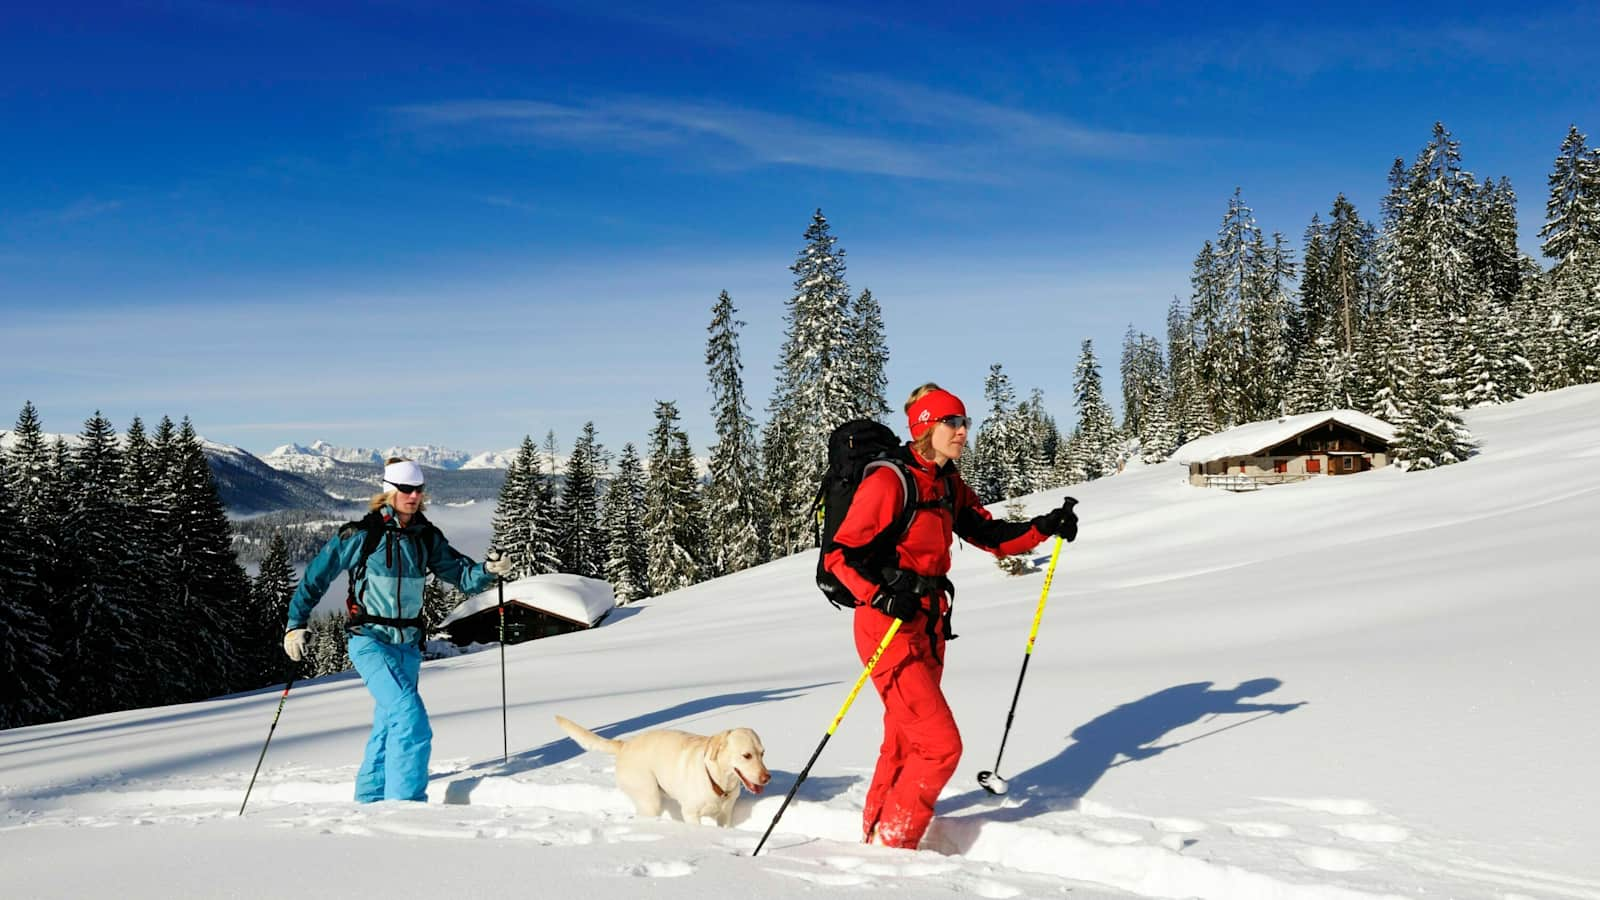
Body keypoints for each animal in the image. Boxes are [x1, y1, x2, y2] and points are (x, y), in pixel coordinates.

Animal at [556, 711, 768, 826]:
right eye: (746, 755)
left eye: (762, 753)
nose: (767, 778)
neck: (717, 780)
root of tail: (624, 745)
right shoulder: (691, 814)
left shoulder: (725, 815)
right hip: (649, 798)